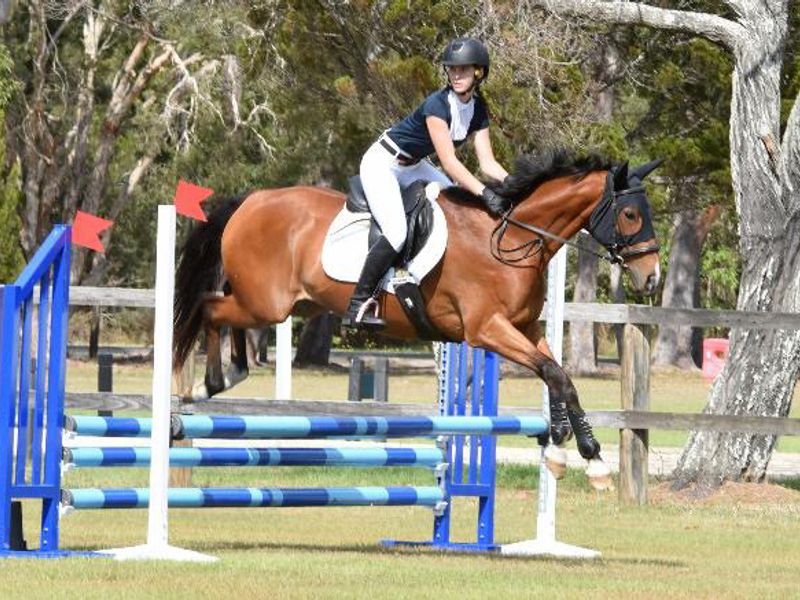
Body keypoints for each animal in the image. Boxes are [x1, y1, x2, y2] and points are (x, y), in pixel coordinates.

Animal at [172, 149, 662, 489]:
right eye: (630, 214)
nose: (652, 277)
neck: (509, 237)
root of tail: (250, 201)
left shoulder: (525, 329)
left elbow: (558, 374)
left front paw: (572, 450)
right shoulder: (487, 330)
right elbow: (554, 373)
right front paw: (576, 452)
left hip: (288, 304)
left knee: (226, 317)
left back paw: (225, 376)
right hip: (266, 302)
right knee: (209, 309)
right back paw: (203, 383)